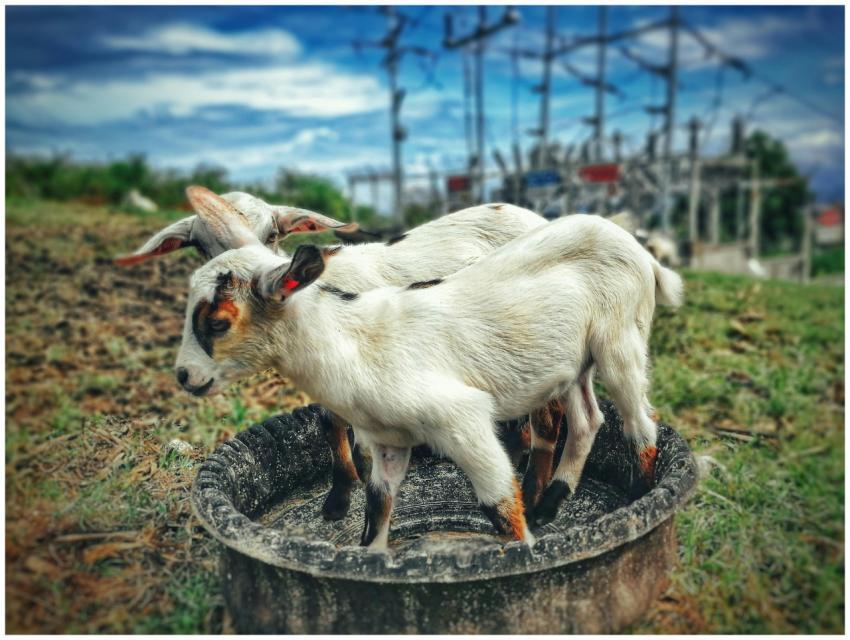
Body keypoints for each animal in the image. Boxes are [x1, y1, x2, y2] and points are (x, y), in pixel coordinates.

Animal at [173, 187, 683, 549]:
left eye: (217, 322)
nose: (184, 377)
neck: (352, 342)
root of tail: (637, 249)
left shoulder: (463, 422)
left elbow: (502, 509)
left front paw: (524, 556)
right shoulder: (388, 442)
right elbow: (377, 509)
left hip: (620, 341)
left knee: (638, 423)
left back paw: (638, 501)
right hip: (571, 363)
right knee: (587, 420)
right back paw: (553, 502)